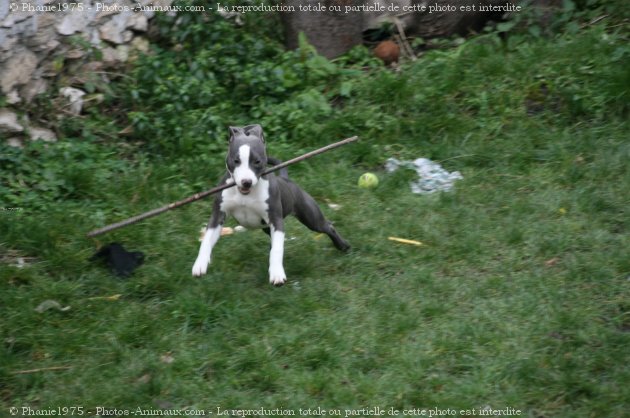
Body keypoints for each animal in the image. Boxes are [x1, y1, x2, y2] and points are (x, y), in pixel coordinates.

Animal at [193, 124, 350, 286]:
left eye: (257, 161)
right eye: (236, 160)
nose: (246, 182)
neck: (246, 194)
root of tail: (286, 180)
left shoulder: (276, 220)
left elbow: (277, 249)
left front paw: (277, 274)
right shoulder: (217, 217)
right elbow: (206, 241)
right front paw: (200, 265)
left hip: (310, 217)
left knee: (327, 227)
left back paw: (343, 246)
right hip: (267, 228)